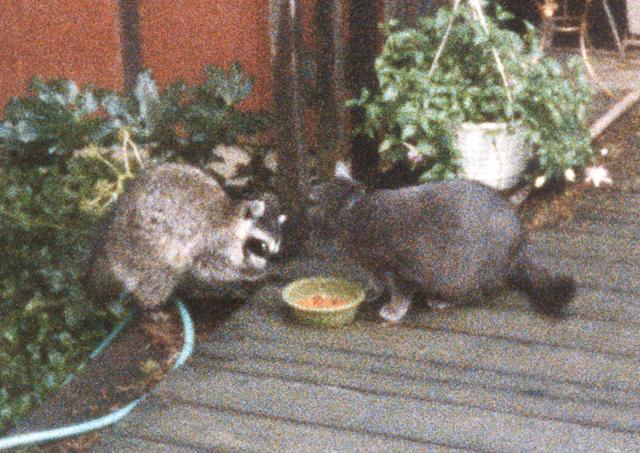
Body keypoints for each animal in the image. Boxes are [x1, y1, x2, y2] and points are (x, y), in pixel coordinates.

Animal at [85, 162, 284, 310]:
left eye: (274, 250)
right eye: (261, 247)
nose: (263, 264)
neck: (233, 219)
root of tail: (107, 240)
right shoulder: (216, 243)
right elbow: (208, 268)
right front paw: (256, 274)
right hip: (140, 249)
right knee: (159, 278)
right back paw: (153, 306)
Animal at [304, 162, 576, 322]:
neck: (352, 210)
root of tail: (520, 242)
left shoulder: (399, 269)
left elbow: (400, 293)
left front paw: (393, 310)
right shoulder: (375, 266)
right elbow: (375, 279)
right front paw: (370, 292)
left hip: (462, 275)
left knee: (476, 293)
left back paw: (441, 300)